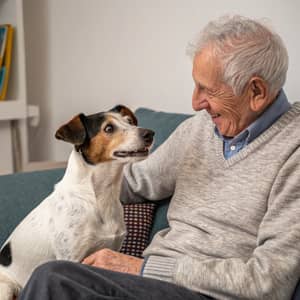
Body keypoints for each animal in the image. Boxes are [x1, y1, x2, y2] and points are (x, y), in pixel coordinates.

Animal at [0, 104, 155, 298]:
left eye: (129, 122)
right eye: (108, 128)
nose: (150, 133)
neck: (98, 196)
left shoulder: (111, 251)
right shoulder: (70, 258)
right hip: (6, 287)